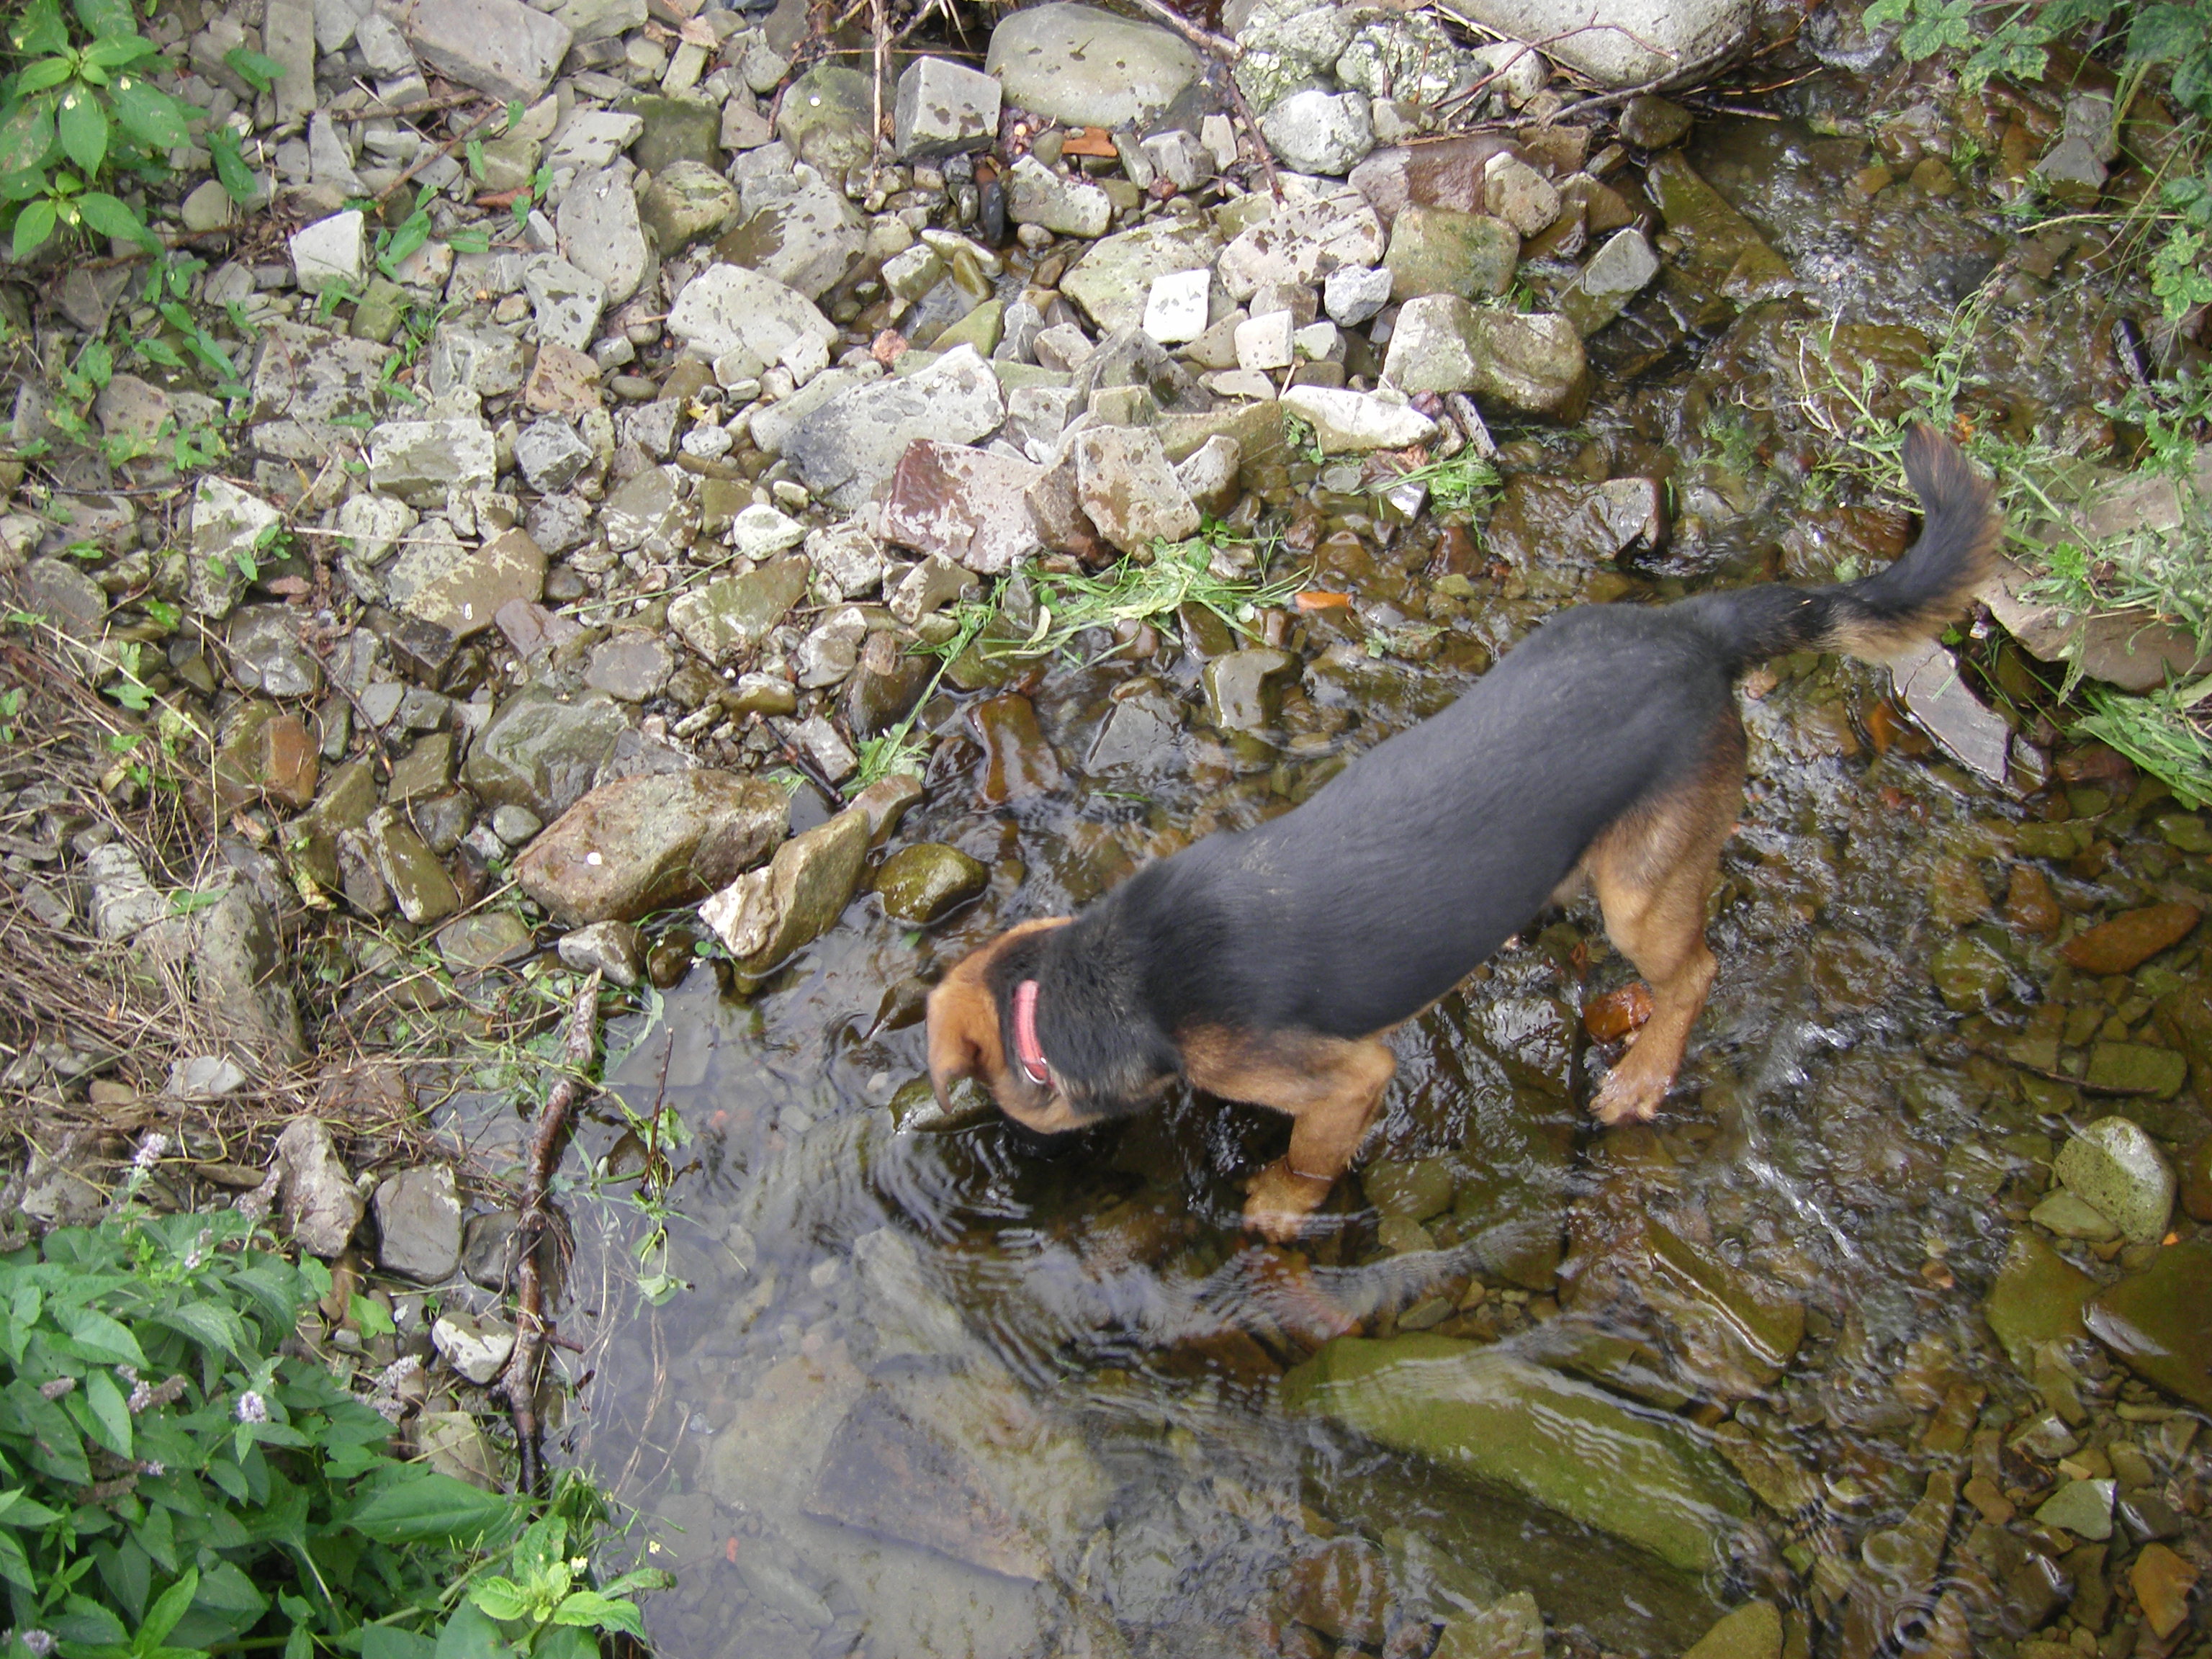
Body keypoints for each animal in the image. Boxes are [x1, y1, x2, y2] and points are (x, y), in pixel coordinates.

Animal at [925, 422, 2000, 1238]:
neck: (1116, 972)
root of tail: (1694, 631)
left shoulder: (1343, 1079)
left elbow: (1312, 1157)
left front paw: (1277, 1207)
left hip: (1642, 893)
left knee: (1694, 972)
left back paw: (1644, 1076)